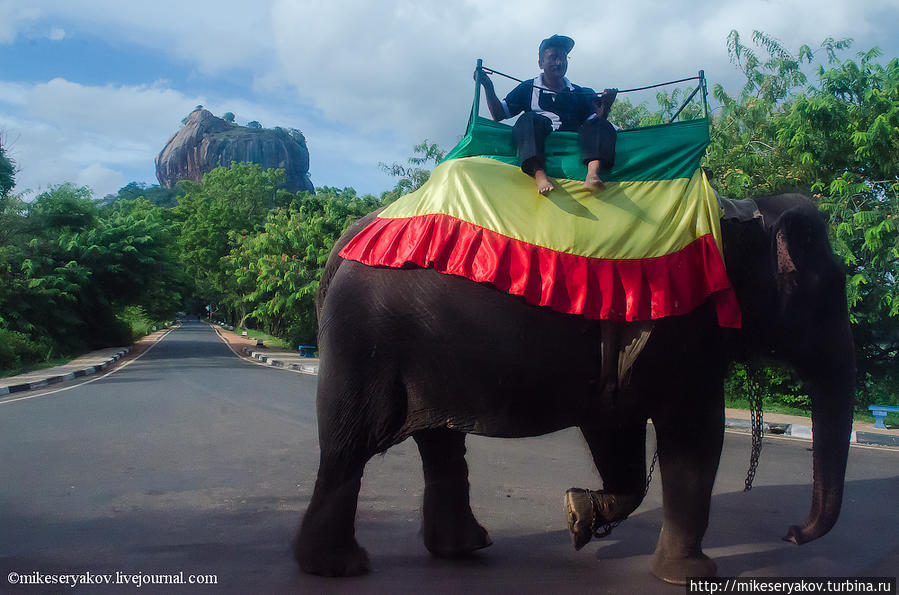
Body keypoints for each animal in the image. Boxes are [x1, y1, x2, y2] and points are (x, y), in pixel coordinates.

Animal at [298, 193, 856, 584]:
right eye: (830, 287)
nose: (792, 534)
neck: (745, 213)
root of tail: (345, 241)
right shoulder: (683, 329)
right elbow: (694, 434)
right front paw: (689, 576)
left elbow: (617, 429)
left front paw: (578, 518)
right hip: (364, 343)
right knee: (349, 447)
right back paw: (338, 568)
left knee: (439, 441)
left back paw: (465, 549)